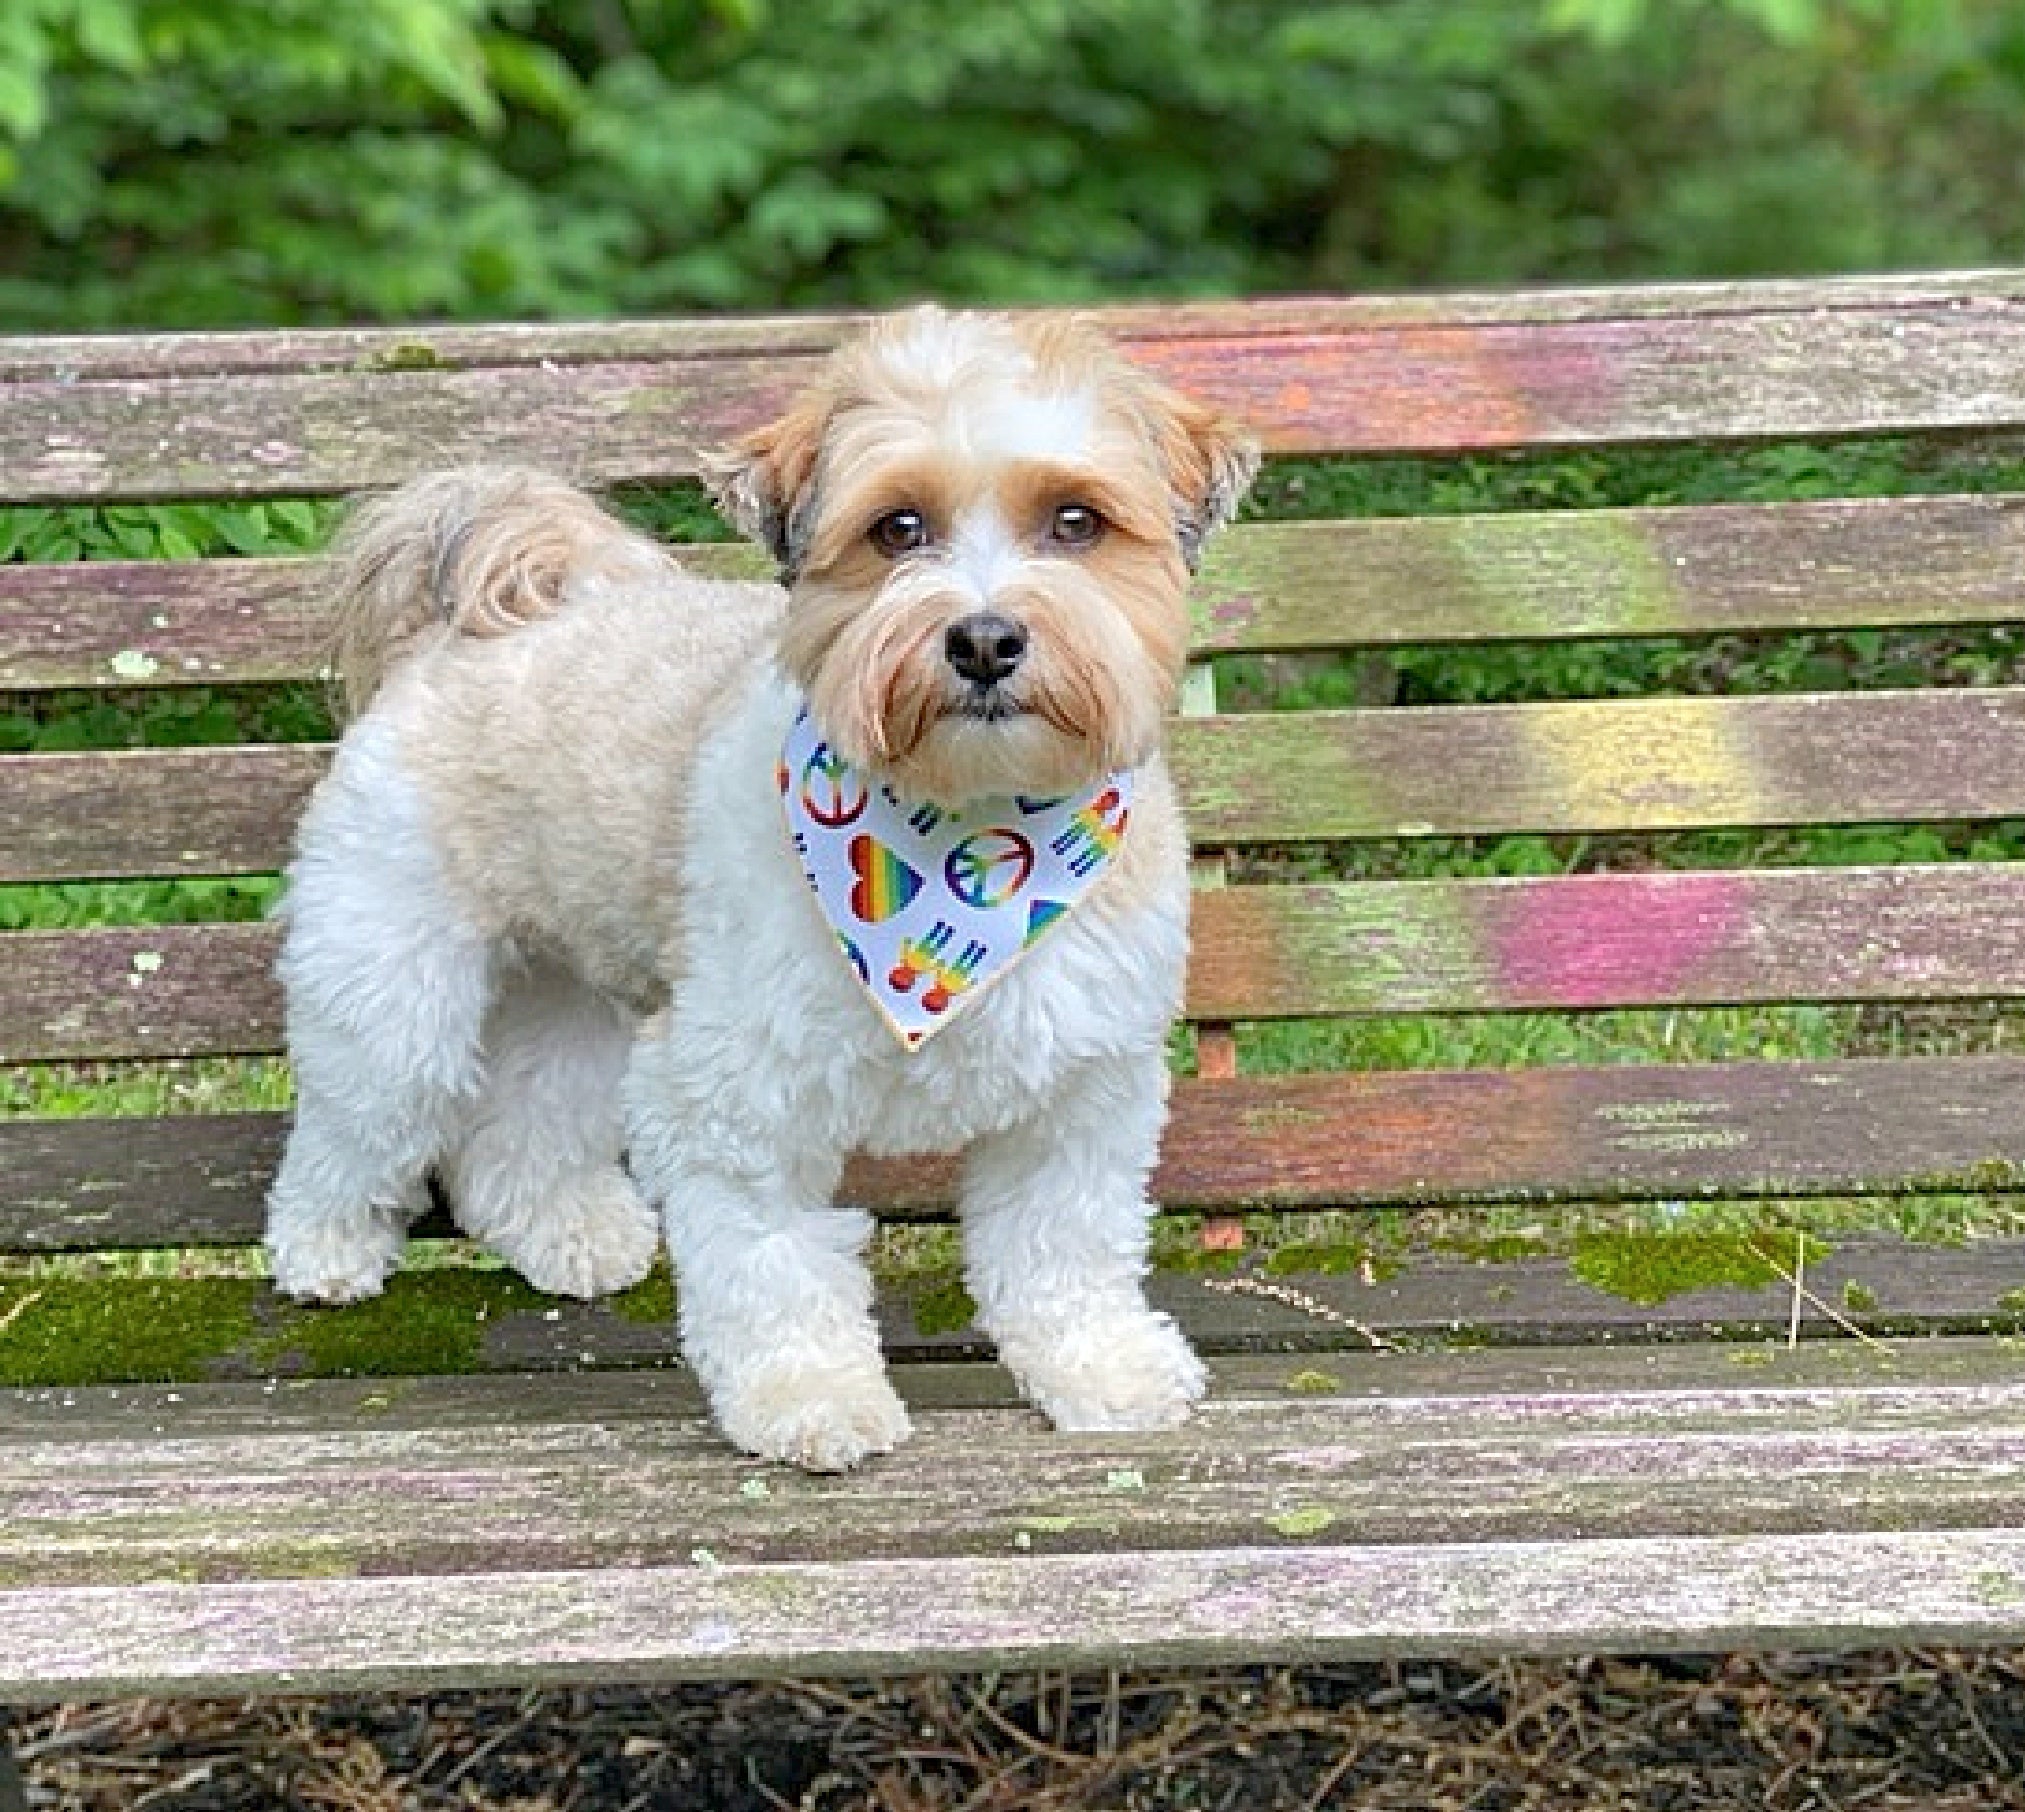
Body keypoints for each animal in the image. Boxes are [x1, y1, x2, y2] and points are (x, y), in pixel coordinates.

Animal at [263, 307, 1255, 1473]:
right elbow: (772, 1264)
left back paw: (567, 1232)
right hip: (392, 996)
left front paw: (1100, 1366)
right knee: (353, 1128)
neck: (960, 846)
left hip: (574, 997)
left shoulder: (1082, 1091)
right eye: (897, 528)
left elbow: (1065, 1247)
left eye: (1075, 521)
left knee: (523, 1128)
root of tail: (475, 624)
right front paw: (809, 1397)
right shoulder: (736, 1095)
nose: (983, 637)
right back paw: (324, 1251)